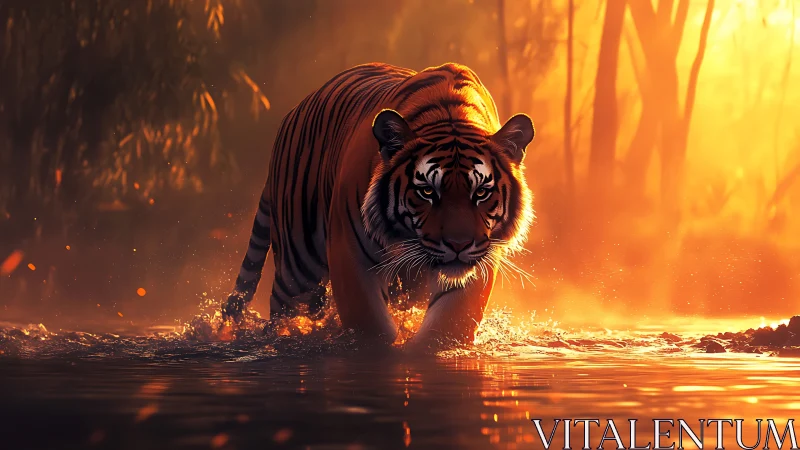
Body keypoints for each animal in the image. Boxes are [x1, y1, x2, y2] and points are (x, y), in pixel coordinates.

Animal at [221, 62, 535, 348]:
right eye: (426, 191)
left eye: (481, 192)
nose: (458, 244)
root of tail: (292, 113)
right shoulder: (349, 253)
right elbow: (371, 329)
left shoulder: (479, 261)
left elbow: (446, 327)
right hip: (297, 269)